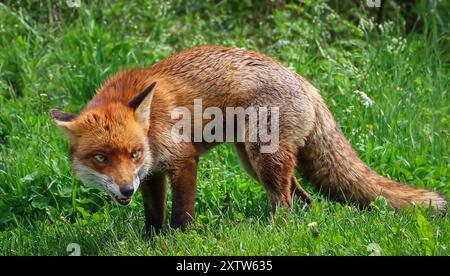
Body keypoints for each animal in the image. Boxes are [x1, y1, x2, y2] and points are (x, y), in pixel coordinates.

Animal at [50, 45, 446, 233]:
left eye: (133, 153)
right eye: (101, 158)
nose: (124, 190)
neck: (152, 125)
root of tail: (307, 83)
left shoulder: (182, 159)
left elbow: (180, 215)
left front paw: (178, 242)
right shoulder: (151, 174)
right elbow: (152, 216)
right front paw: (150, 242)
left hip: (263, 160)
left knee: (284, 203)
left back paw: (275, 234)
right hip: (255, 163)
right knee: (303, 200)